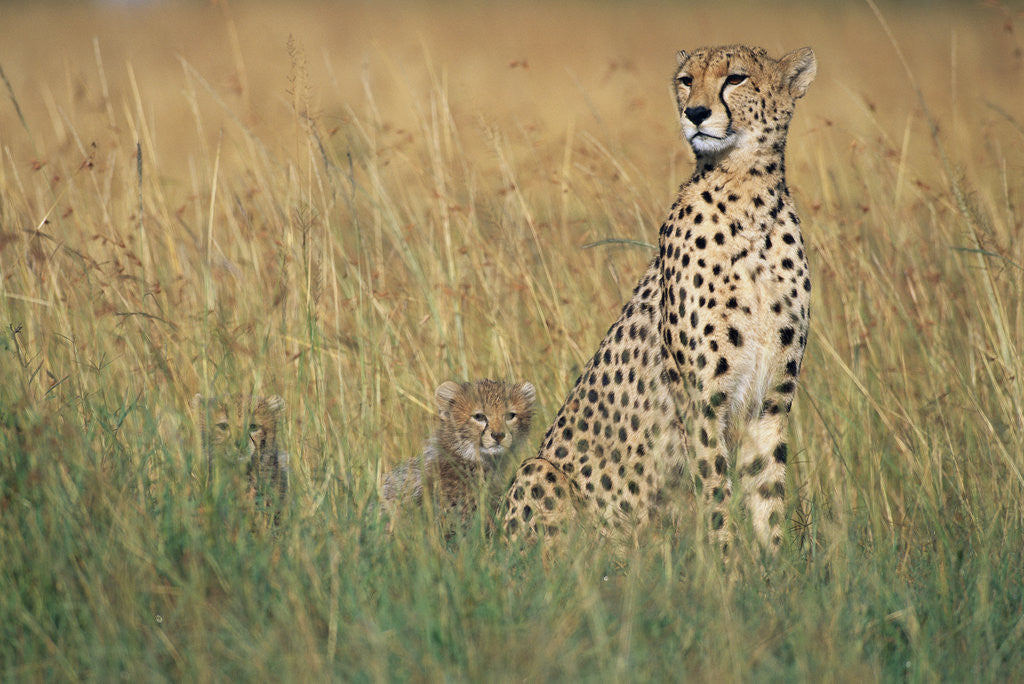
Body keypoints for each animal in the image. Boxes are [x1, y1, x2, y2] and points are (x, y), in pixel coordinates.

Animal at [502, 45, 817, 553]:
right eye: (686, 80)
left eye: (736, 78)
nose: (695, 113)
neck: (748, 196)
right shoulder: (701, 398)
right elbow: (715, 491)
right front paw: (726, 566)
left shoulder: (771, 398)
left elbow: (767, 492)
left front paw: (775, 568)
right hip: (539, 473)